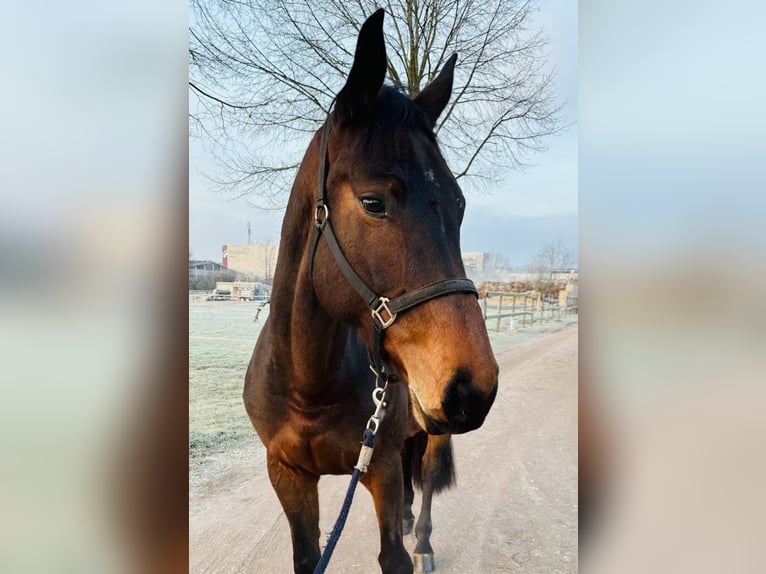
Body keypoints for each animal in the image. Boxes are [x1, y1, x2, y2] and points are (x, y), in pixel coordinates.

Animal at [243, 10, 500, 574]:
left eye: (459, 204)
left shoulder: (376, 466)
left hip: (433, 433)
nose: (474, 387)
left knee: (425, 485)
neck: (309, 387)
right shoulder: (288, 475)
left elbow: (394, 556)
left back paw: (422, 540)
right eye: (373, 202)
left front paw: (410, 545)